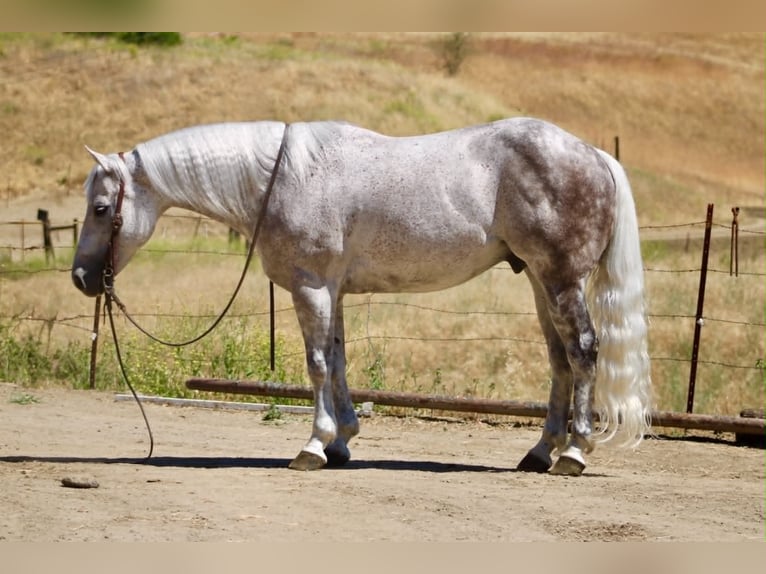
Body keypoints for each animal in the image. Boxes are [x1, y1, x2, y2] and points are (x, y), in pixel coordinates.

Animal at [71, 117, 652, 476]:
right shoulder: (332, 290)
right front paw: (342, 441)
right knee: (559, 359)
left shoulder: (310, 286)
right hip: (538, 280)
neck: (283, 179)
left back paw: (574, 452)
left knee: (583, 352)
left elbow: (316, 365)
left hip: (561, 280)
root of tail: (594, 154)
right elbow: (338, 360)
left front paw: (313, 445)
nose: (80, 277)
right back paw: (539, 452)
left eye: (101, 208)